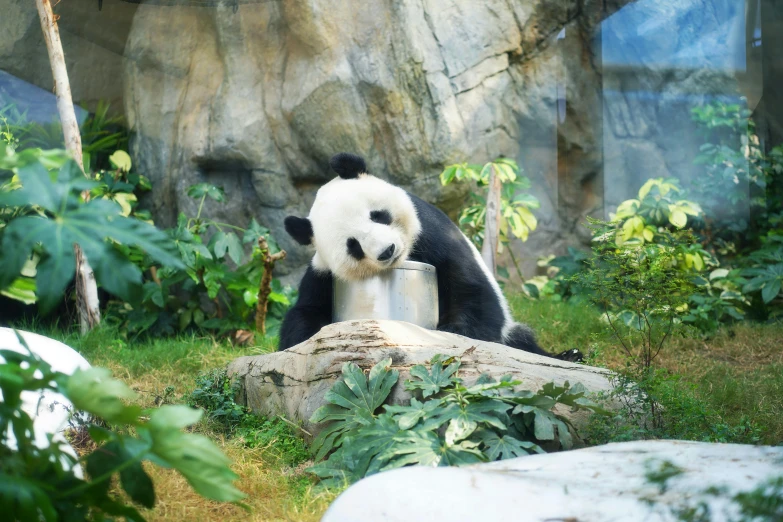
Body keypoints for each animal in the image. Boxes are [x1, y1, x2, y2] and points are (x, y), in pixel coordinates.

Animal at [278, 152, 580, 360]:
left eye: (378, 215)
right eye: (353, 246)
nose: (387, 250)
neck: (407, 254)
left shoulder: (434, 233)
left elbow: (472, 292)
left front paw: (450, 331)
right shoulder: (322, 272)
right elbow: (303, 314)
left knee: (521, 339)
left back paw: (569, 355)